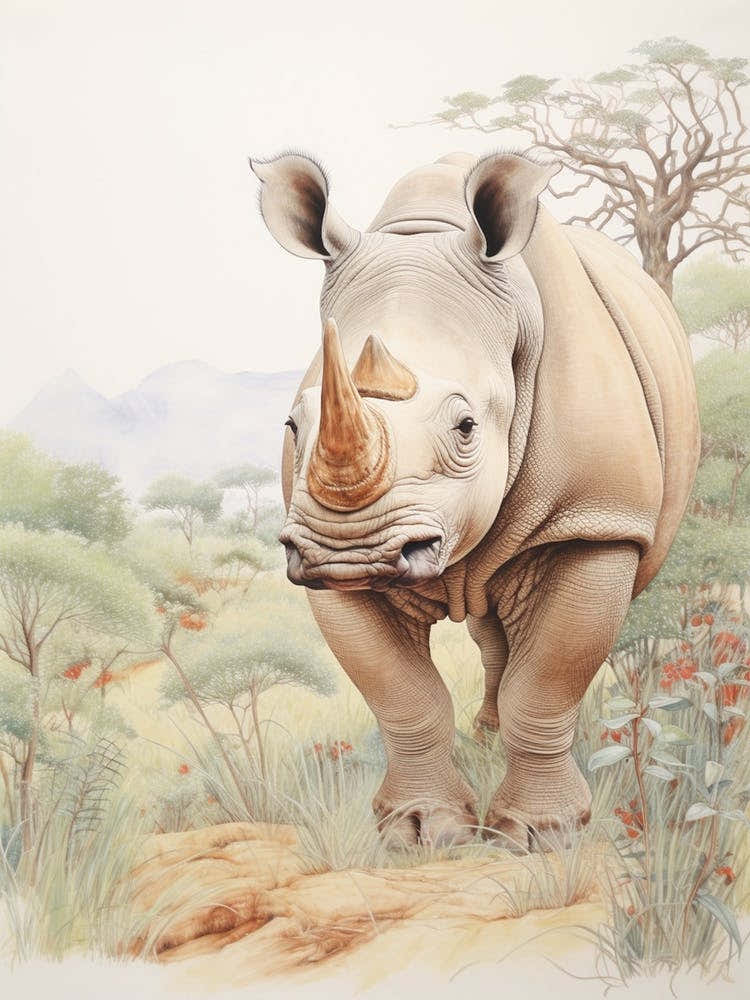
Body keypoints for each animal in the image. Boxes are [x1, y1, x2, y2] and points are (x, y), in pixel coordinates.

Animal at [250, 150, 700, 849]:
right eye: (293, 426)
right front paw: (420, 830)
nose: (349, 552)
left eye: (466, 427)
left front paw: (540, 835)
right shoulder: (313, 553)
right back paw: (484, 738)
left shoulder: (594, 520)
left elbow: (545, 686)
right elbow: (403, 697)